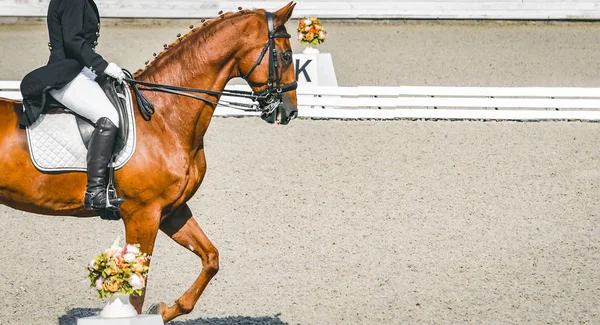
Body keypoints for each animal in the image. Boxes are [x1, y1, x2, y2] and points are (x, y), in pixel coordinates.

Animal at [0, 2, 298, 322]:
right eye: (285, 55)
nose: (290, 111)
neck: (165, 117)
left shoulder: (171, 210)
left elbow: (211, 258)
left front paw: (165, 310)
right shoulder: (142, 214)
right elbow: (136, 290)